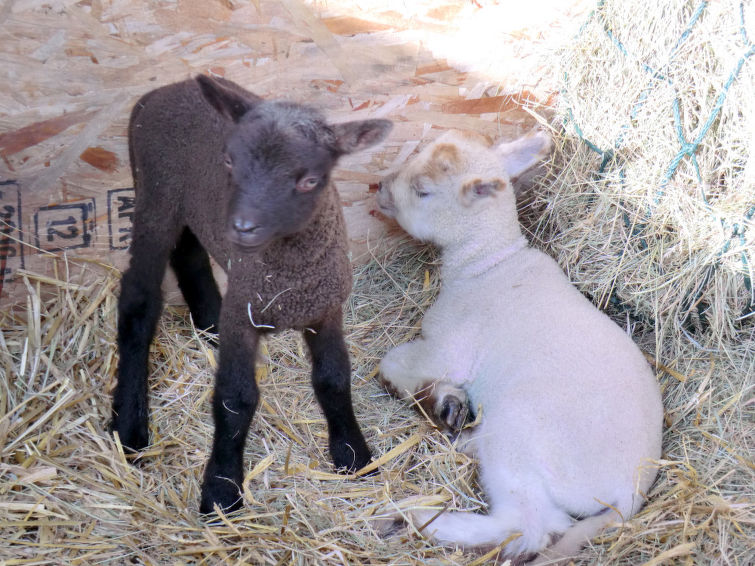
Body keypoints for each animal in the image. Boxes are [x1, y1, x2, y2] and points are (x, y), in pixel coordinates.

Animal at [376, 131, 660, 564]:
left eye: (422, 190)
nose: (380, 190)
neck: (488, 265)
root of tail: (630, 492)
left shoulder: (448, 348)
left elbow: (391, 364)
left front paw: (441, 401)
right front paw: (447, 403)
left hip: (519, 439)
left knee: (529, 527)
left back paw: (417, 518)